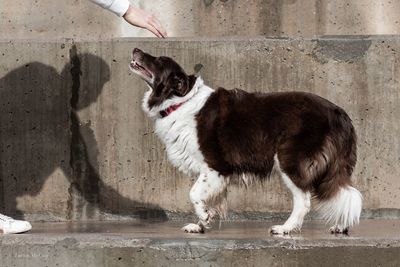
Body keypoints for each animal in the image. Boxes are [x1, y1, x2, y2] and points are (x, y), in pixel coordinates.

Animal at [129, 48, 362, 237]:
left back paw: (285, 228)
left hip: (289, 160)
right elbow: (206, 197)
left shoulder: (216, 166)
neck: (179, 101)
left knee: (304, 201)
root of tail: (339, 113)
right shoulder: (210, 174)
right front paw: (201, 224)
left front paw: (204, 216)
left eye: (159, 60)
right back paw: (341, 226)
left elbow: (194, 193)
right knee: (344, 190)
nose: (136, 49)